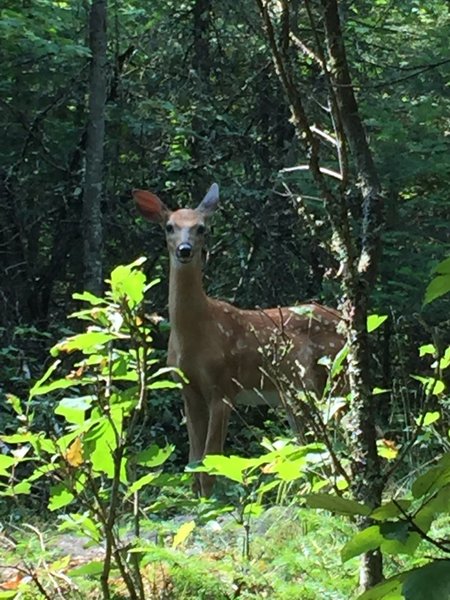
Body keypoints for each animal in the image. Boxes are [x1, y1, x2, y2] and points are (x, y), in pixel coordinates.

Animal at [133, 183, 344, 496]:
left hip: (335, 378)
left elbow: (211, 463)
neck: (195, 334)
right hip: (296, 394)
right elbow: (193, 462)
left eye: (202, 228)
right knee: (309, 445)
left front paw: (208, 501)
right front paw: (197, 500)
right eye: (169, 226)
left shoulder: (224, 386)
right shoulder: (188, 390)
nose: (185, 250)